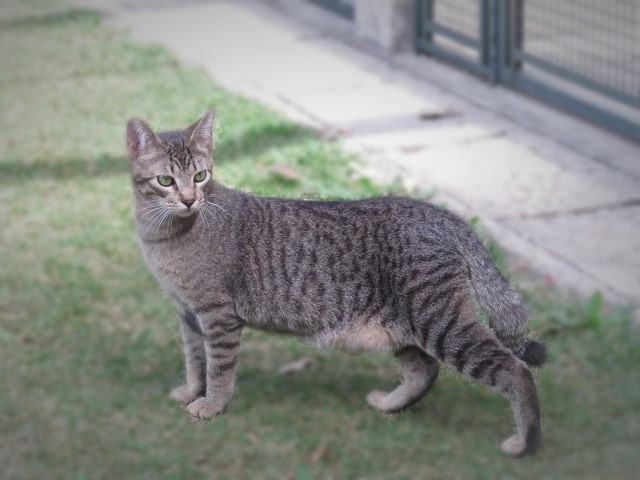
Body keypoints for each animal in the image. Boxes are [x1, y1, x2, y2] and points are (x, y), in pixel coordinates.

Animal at [127, 109, 548, 458]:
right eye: (166, 180)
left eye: (201, 176)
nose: (188, 199)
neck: (164, 236)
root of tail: (445, 215)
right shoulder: (187, 313)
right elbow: (194, 360)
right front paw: (189, 391)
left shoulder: (218, 316)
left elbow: (218, 367)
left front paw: (212, 405)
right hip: (404, 327)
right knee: (424, 370)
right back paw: (390, 405)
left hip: (441, 322)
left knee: (516, 371)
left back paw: (525, 443)